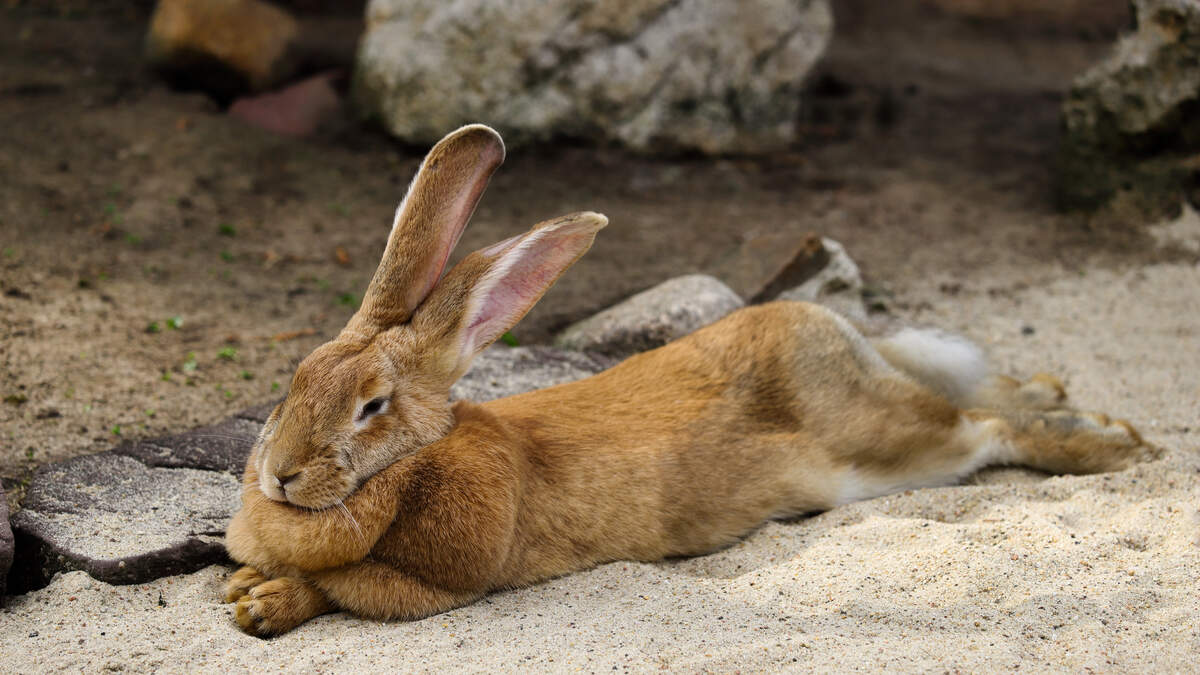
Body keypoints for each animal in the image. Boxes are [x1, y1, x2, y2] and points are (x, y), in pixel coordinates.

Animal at [220, 123, 1156, 634]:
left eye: (371, 407)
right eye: (290, 385)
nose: (280, 475)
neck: (417, 458)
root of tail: (828, 329)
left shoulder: (446, 574)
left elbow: (341, 586)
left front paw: (260, 601)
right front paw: (242, 586)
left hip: (893, 449)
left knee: (986, 433)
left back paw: (1114, 446)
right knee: (979, 396)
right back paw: (1057, 392)